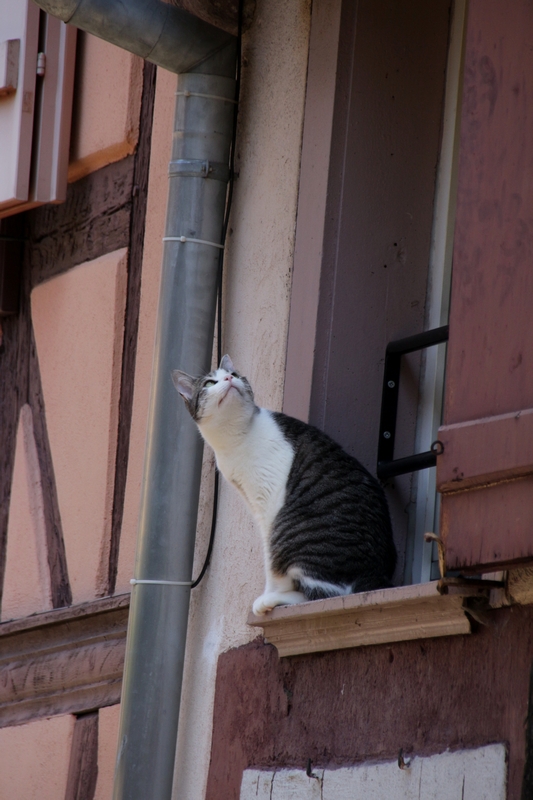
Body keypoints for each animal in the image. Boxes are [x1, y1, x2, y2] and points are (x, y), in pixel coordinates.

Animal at [172, 355, 396, 615]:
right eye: (209, 383)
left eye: (234, 374)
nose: (229, 378)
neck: (234, 437)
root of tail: (377, 577)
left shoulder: (269, 503)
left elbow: (271, 561)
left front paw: (269, 593)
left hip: (295, 535)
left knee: (325, 595)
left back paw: (272, 600)